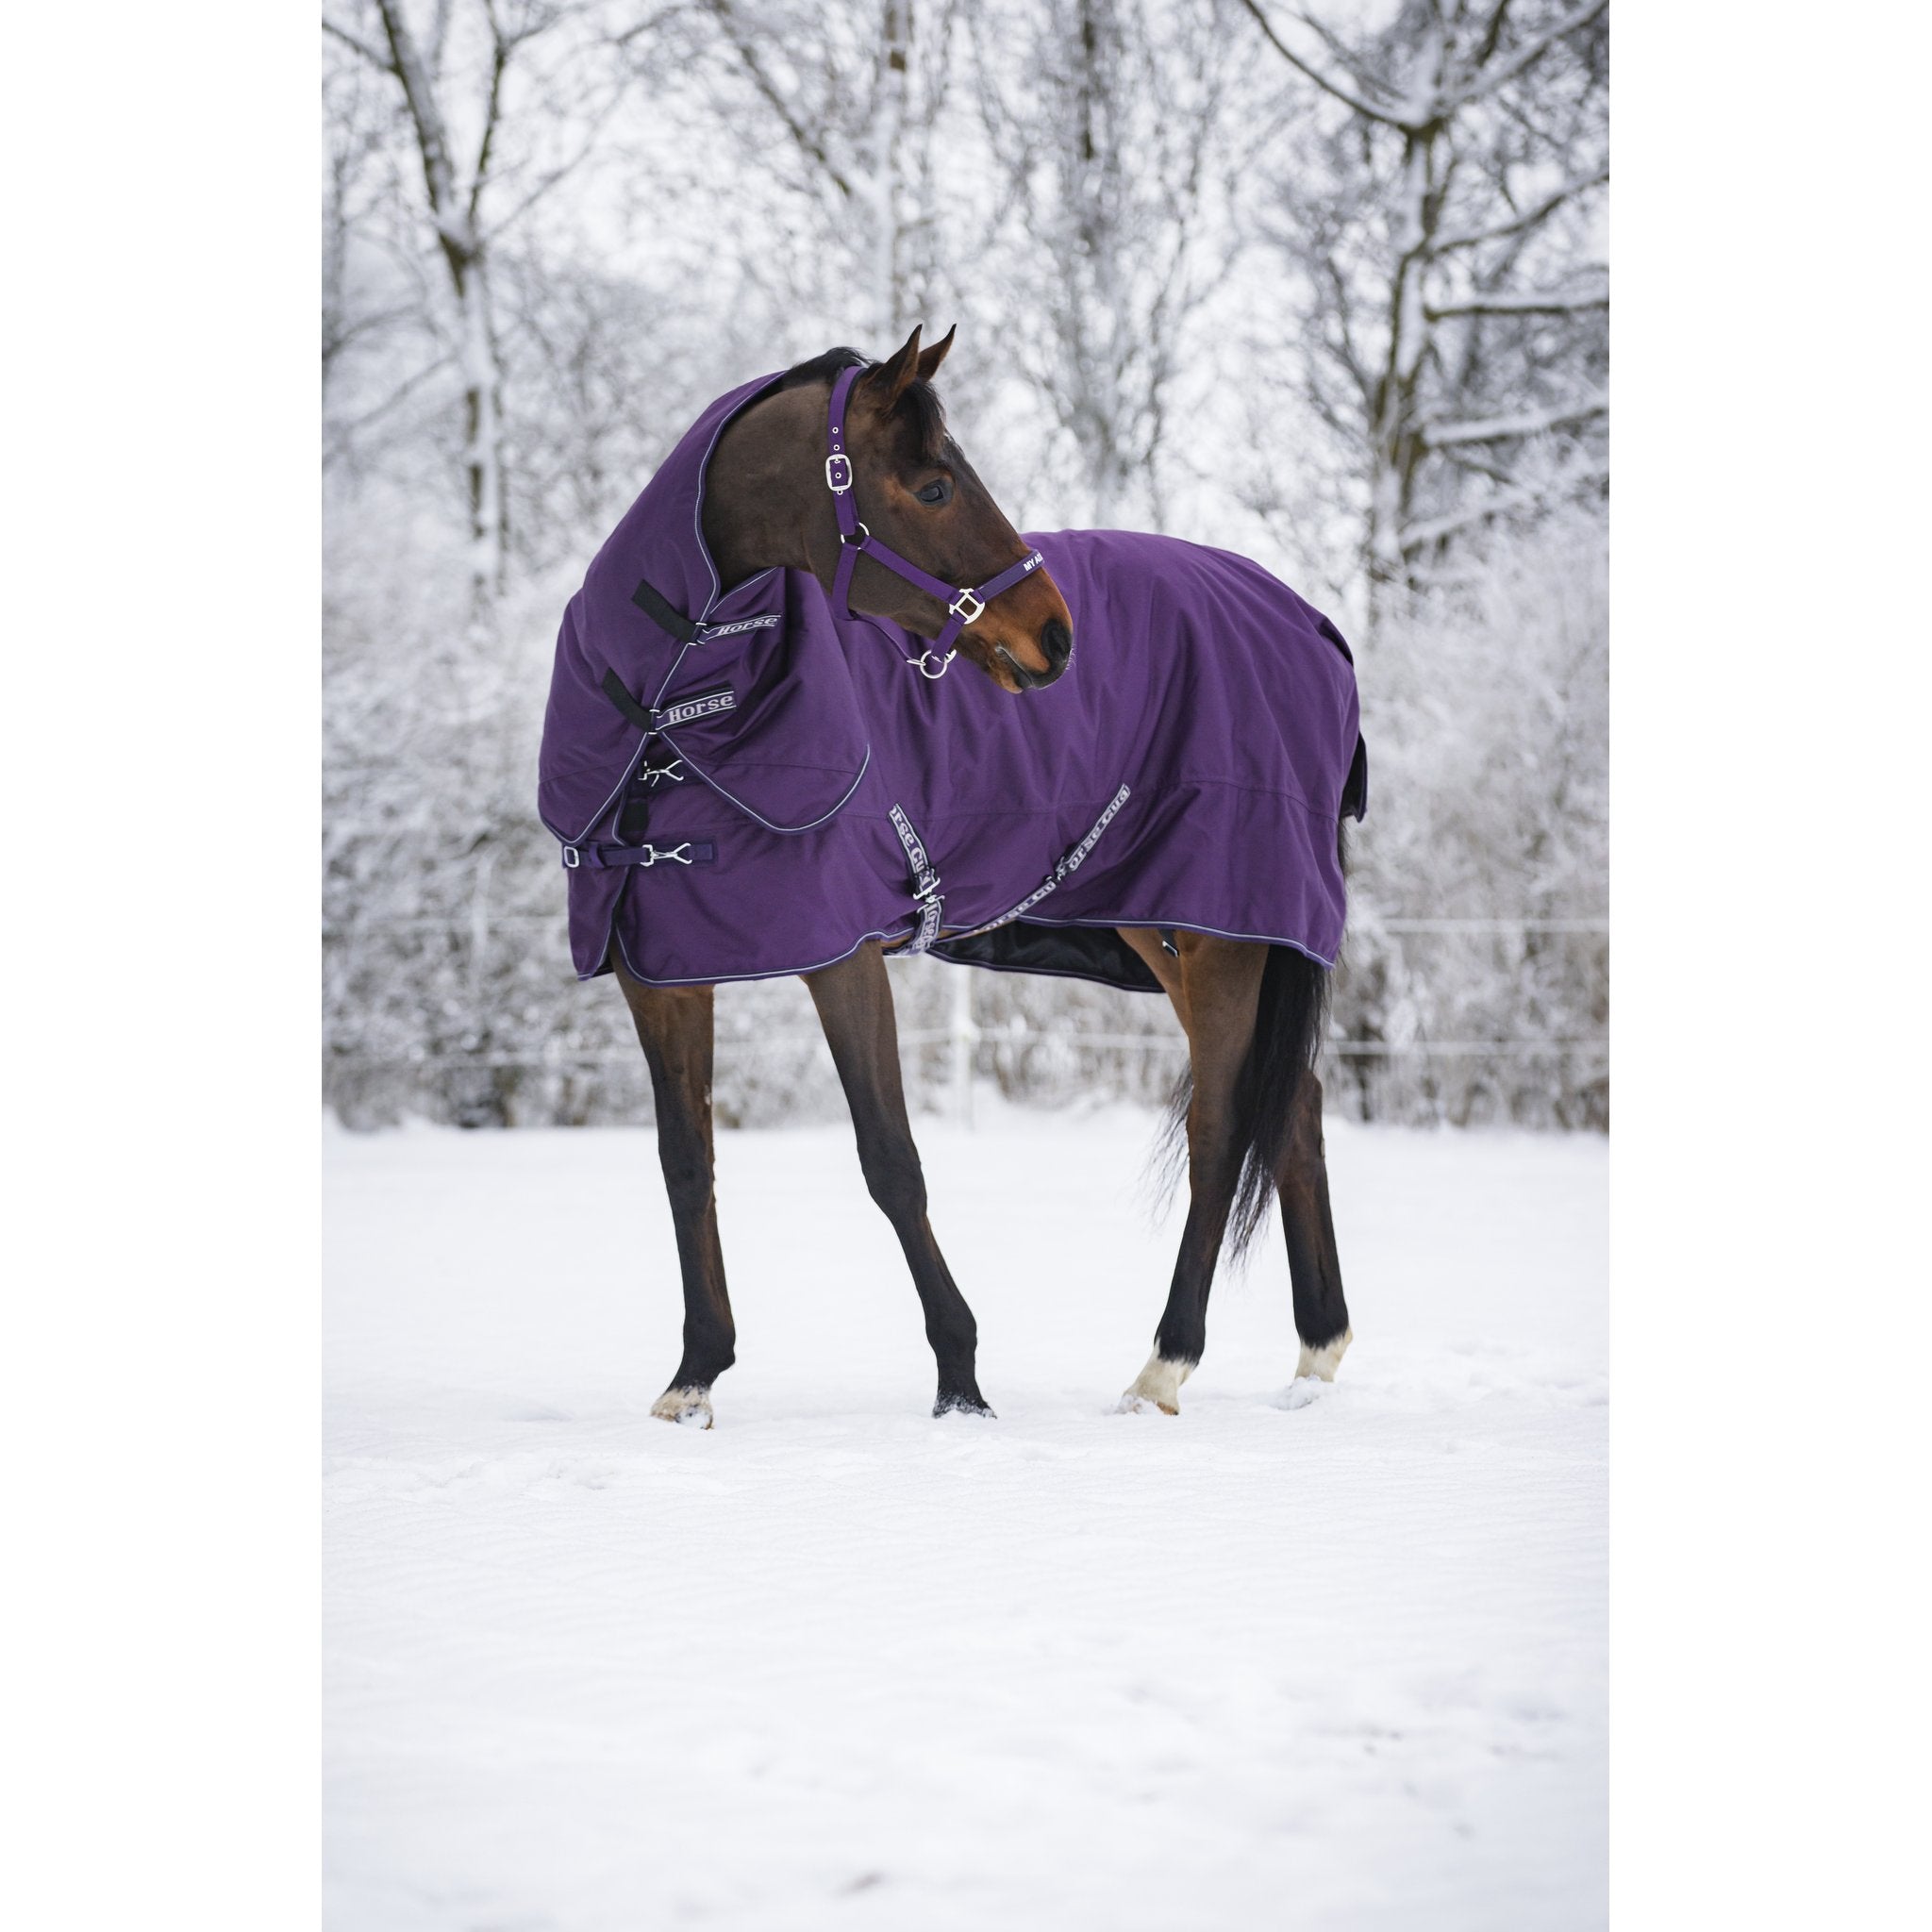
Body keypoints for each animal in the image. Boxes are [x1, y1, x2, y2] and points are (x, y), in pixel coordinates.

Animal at [538, 324, 1358, 1427]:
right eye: (932, 486)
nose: (1056, 634)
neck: (671, 721)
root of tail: (1309, 622)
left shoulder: (841, 955)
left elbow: (891, 1160)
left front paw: (960, 1380)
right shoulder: (657, 971)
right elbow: (685, 1160)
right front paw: (695, 1374)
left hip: (1220, 928)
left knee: (1221, 1123)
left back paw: (1164, 1364)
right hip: (1171, 929)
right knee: (1294, 1108)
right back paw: (1314, 1357)